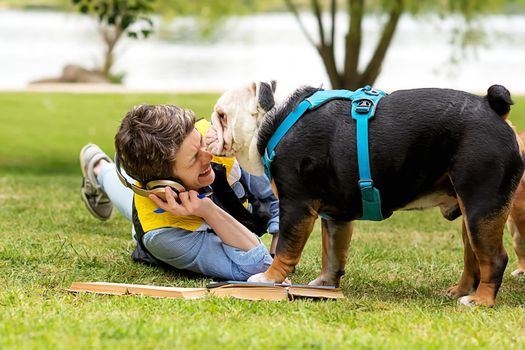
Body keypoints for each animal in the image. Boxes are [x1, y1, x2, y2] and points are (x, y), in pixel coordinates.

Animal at [209, 82, 524, 306]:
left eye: (222, 116)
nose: (209, 129)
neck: (275, 118)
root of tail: (492, 107)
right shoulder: (335, 217)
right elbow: (332, 254)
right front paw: (324, 285)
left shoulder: (295, 205)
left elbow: (286, 249)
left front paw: (269, 279)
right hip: (472, 214)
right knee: (474, 258)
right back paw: (459, 291)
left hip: (482, 206)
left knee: (494, 259)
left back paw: (480, 301)